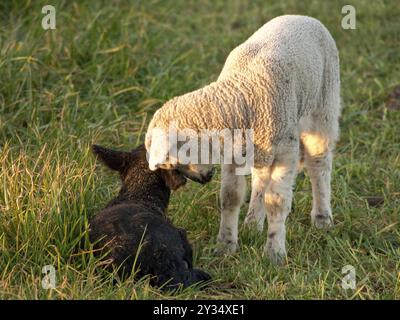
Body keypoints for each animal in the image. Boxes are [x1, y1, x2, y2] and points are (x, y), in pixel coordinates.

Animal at [144, 15, 340, 264]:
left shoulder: (286, 148)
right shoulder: (234, 152)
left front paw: (275, 253)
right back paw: (253, 222)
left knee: (319, 164)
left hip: (323, 106)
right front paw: (225, 245)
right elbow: (230, 196)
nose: (204, 179)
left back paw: (322, 218)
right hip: (263, 148)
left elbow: (276, 201)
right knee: (261, 177)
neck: (242, 94)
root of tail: (302, 16)